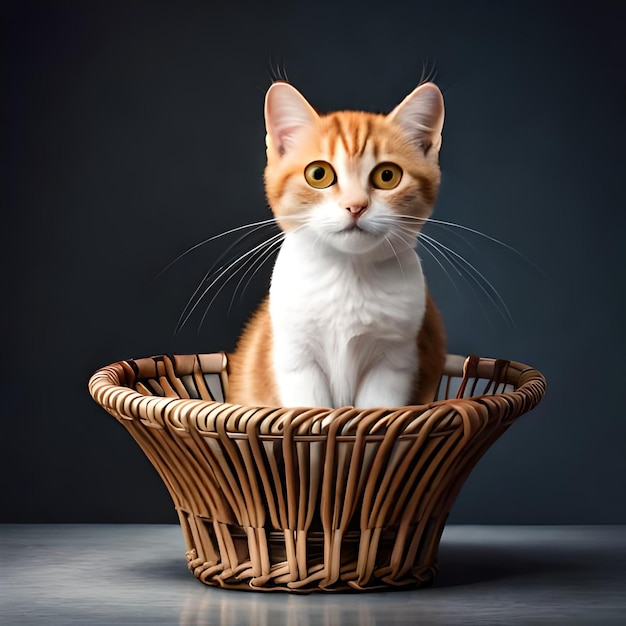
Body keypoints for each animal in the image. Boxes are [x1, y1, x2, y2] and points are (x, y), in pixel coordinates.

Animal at [224, 80, 444, 408]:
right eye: (318, 174)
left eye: (387, 175)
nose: (355, 206)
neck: (347, 276)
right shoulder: (296, 358)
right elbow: (309, 409)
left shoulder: (394, 360)